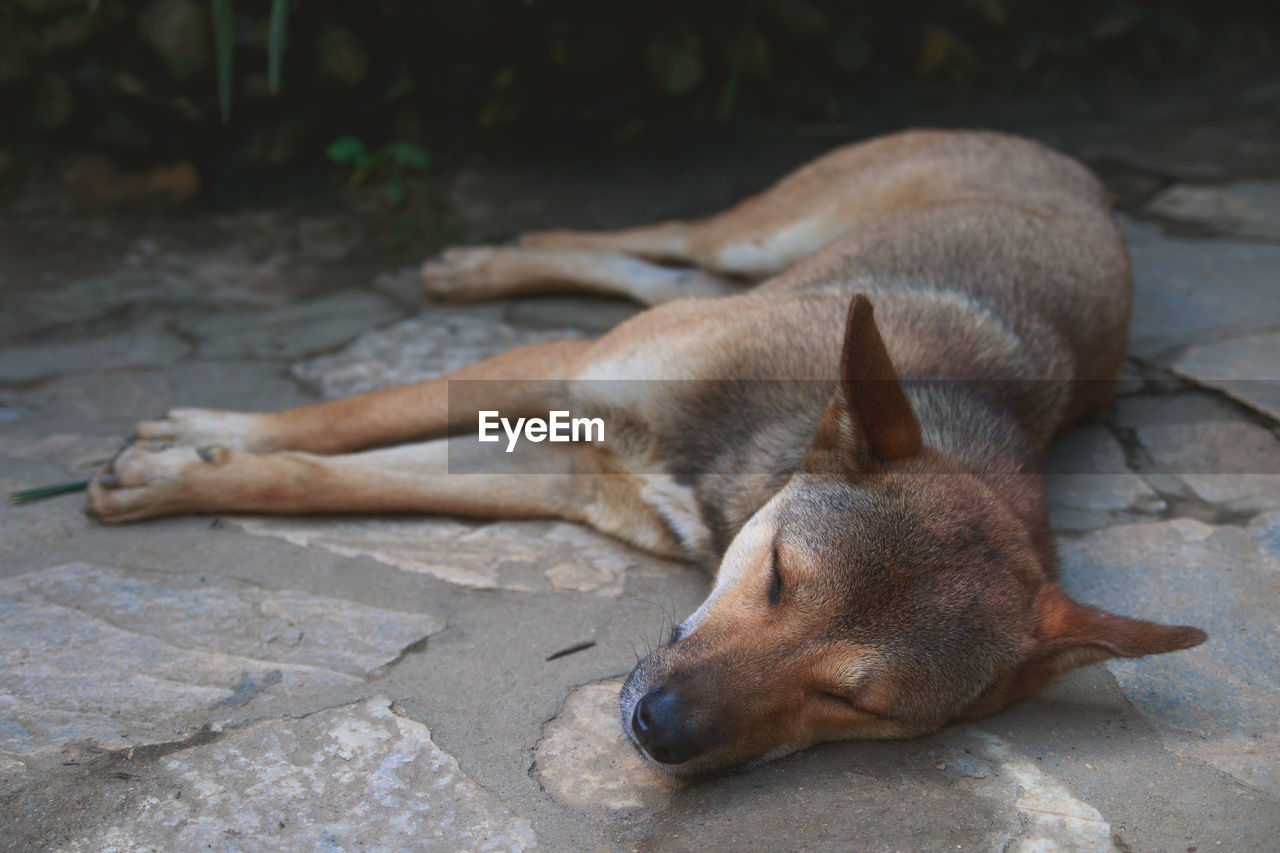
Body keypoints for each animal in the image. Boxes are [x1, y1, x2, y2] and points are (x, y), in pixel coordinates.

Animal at [85, 129, 1203, 773]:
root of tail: (1074, 167)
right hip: (760, 233)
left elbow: (330, 482)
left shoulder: (561, 475)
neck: (742, 465)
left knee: (656, 266)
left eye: (855, 701)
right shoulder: (565, 370)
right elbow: (338, 422)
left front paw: (188, 465)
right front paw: (190, 444)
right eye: (779, 577)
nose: (659, 730)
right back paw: (485, 260)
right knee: (665, 235)